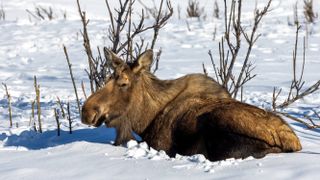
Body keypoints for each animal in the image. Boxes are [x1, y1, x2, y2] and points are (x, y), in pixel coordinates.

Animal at [81, 49, 302, 162]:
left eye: (123, 83)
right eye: (108, 77)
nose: (87, 111)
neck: (146, 119)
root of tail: (293, 142)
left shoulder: (160, 145)